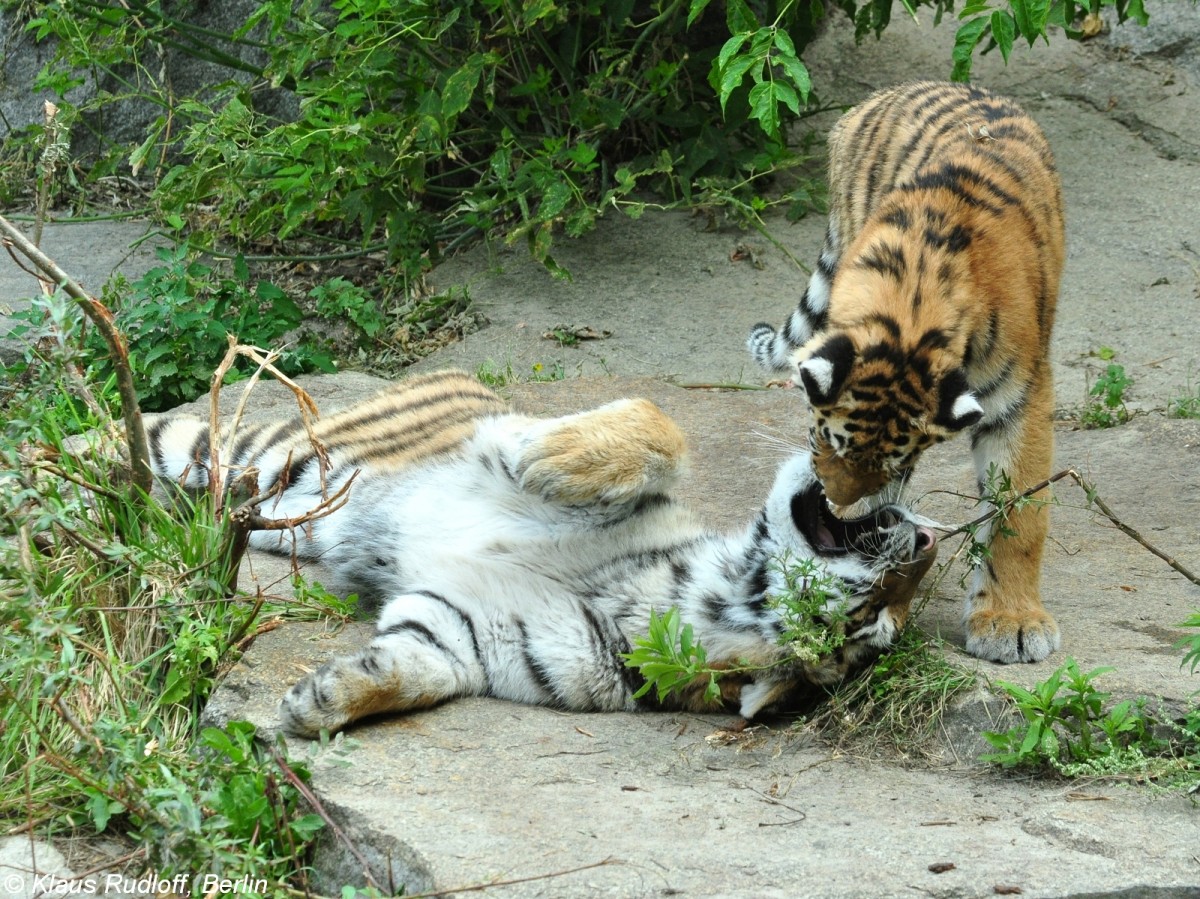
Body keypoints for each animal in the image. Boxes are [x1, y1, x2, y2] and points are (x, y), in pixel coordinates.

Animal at [145, 367, 936, 734]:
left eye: (872, 619)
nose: (928, 541)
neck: (670, 598)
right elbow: (658, 425)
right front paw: (553, 459)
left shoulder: (460, 629)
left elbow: (412, 671)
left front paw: (323, 700)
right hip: (254, 457)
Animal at [744, 80, 1065, 662]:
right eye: (825, 441)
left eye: (897, 463)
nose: (836, 505)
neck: (909, 316)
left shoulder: (1020, 395)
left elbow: (1021, 512)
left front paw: (1011, 623)